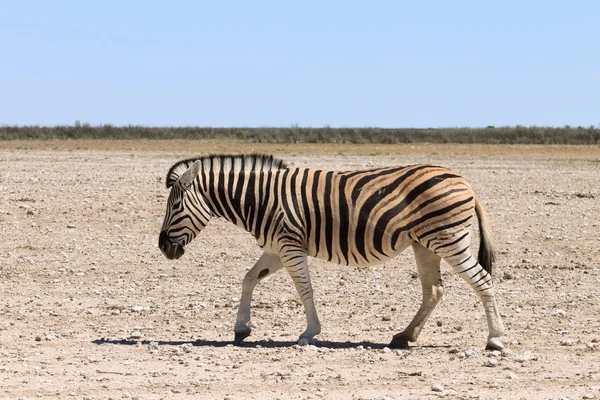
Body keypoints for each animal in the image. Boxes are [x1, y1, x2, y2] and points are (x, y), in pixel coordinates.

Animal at [157, 153, 504, 350]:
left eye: (175, 207)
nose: (163, 248)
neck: (260, 200)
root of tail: (465, 181)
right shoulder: (275, 249)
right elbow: (248, 279)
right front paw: (242, 328)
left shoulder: (290, 246)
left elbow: (304, 289)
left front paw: (309, 333)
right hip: (425, 244)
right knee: (434, 290)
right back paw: (405, 336)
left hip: (449, 239)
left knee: (483, 280)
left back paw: (495, 339)